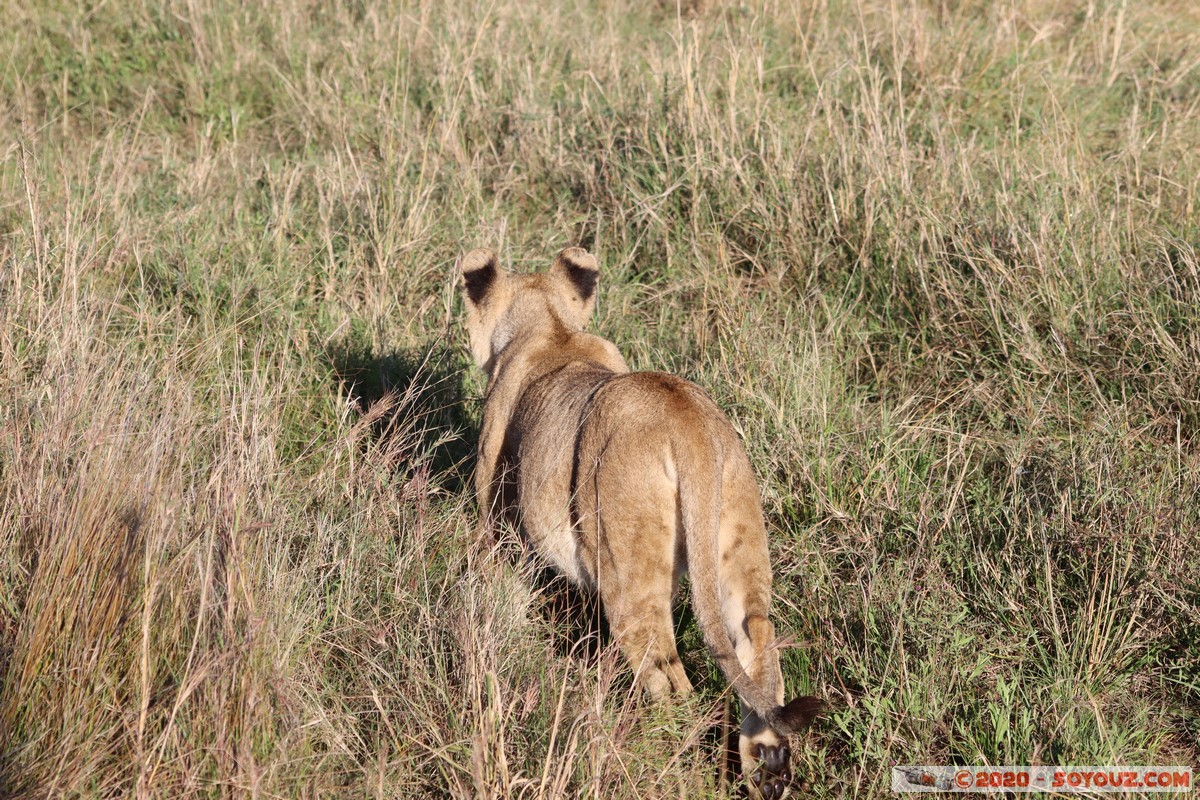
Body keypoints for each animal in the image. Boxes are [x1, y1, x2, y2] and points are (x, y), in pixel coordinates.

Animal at [458, 247, 825, 796]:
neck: (550, 328)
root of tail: (687, 423)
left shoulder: (496, 511)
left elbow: (498, 592)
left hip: (629, 571)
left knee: (669, 679)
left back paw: (652, 758)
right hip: (737, 533)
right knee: (757, 640)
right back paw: (766, 768)